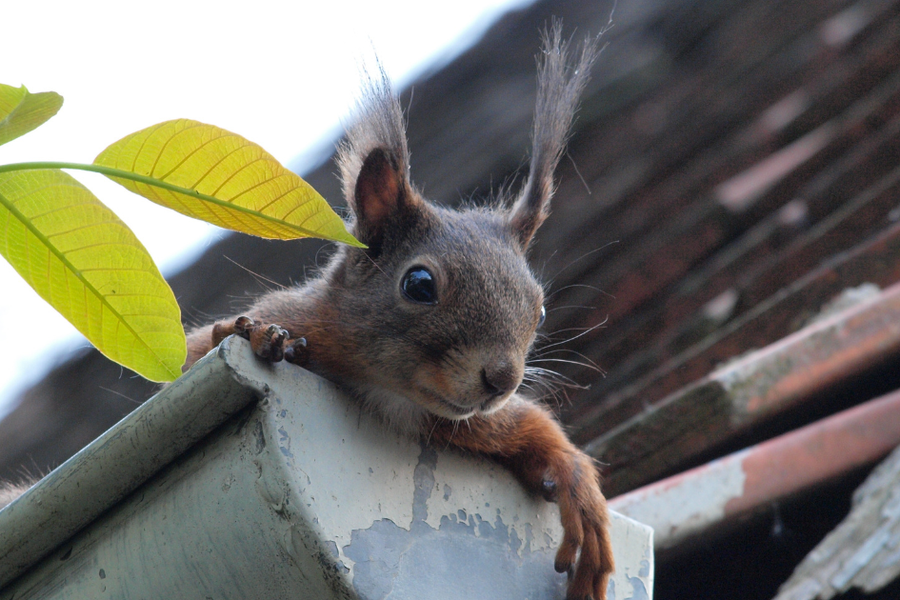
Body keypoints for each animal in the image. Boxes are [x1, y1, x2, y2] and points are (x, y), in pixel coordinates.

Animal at [185, 25, 614, 600]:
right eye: (419, 284)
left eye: (541, 311)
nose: (501, 380)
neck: (390, 392)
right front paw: (254, 334)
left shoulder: (471, 425)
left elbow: (535, 429)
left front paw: (578, 490)